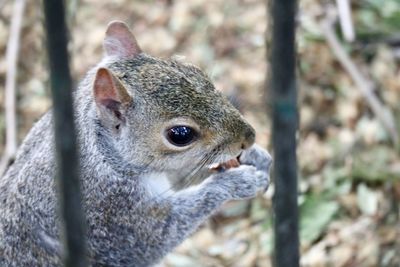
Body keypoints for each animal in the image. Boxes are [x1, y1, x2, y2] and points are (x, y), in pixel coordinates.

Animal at [0, 21, 272, 267]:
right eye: (180, 134)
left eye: (197, 72)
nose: (248, 137)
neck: (103, 154)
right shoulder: (115, 216)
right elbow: (161, 235)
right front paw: (238, 182)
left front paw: (256, 156)